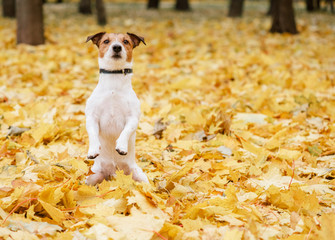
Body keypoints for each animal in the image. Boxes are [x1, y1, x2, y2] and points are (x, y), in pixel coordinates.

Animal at [86, 31, 149, 186]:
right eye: (106, 41)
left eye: (125, 41)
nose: (116, 47)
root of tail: (112, 173)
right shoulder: (91, 117)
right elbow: (92, 133)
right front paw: (93, 149)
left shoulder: (133, 118)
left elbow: (126, 131)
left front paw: (121, 146)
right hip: (91, 177)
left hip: (140, 176)